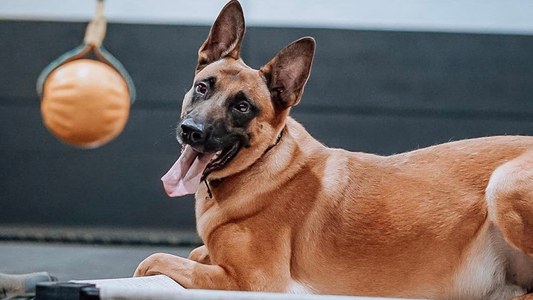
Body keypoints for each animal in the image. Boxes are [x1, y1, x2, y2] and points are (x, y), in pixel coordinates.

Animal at [134, 1, 533, 298]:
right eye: (203, 87)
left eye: (243, 107)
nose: (191, 132)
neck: (264, 163)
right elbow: (194, 251)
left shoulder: (252, 281)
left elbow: (153, 259)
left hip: (502, 185)